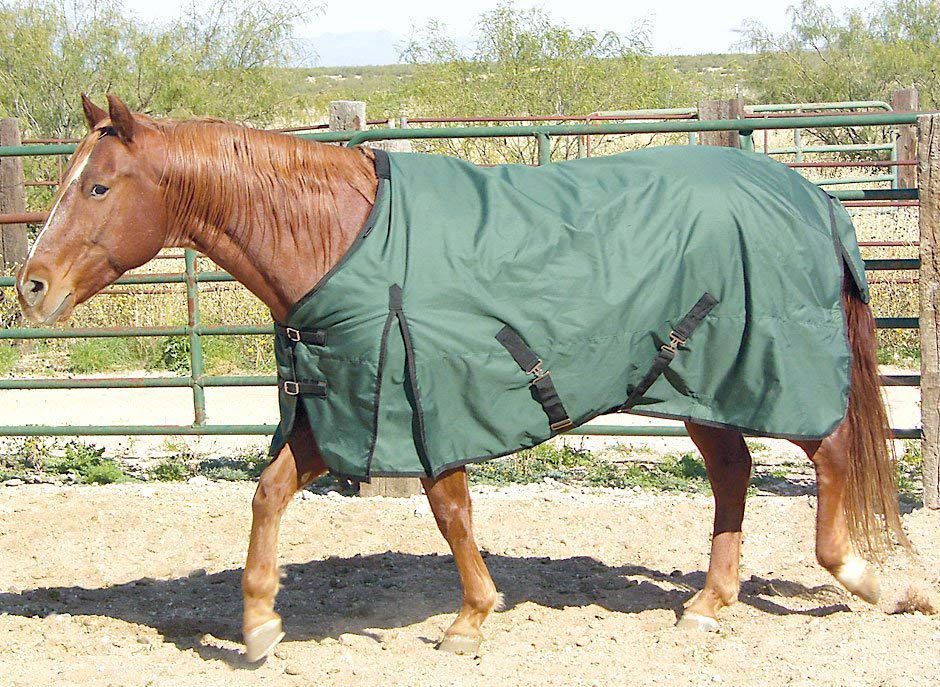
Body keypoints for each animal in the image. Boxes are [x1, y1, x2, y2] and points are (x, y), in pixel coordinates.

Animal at [16, 94, 907, 662]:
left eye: (98, 185)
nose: (30, 287)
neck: (338, 240)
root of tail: (813, 197)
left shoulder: (424, 403)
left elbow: (449, 511)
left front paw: (472, 618)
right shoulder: (343, 408)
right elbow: (268, 493)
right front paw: (261, 622)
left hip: (768, 374)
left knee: (829, 455)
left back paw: (873, 581)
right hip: (697, 382)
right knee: (733, 472)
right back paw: (709, 602)